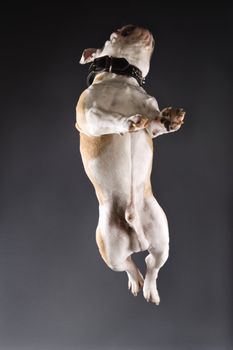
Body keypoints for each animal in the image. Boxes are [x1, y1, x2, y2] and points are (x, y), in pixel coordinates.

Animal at [75, 23, 185, 304]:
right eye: (122, 32)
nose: (137, 27)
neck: (121, 78)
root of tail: (137, 239)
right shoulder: (88, 117)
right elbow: (108, 118)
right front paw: (129, 121)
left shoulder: (152, 126)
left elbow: (156, 122)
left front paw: (171, 119)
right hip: (109, 248)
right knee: (128, 264)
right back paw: (136, 282)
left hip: (161, 238)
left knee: (152, 264)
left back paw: (150, 290)